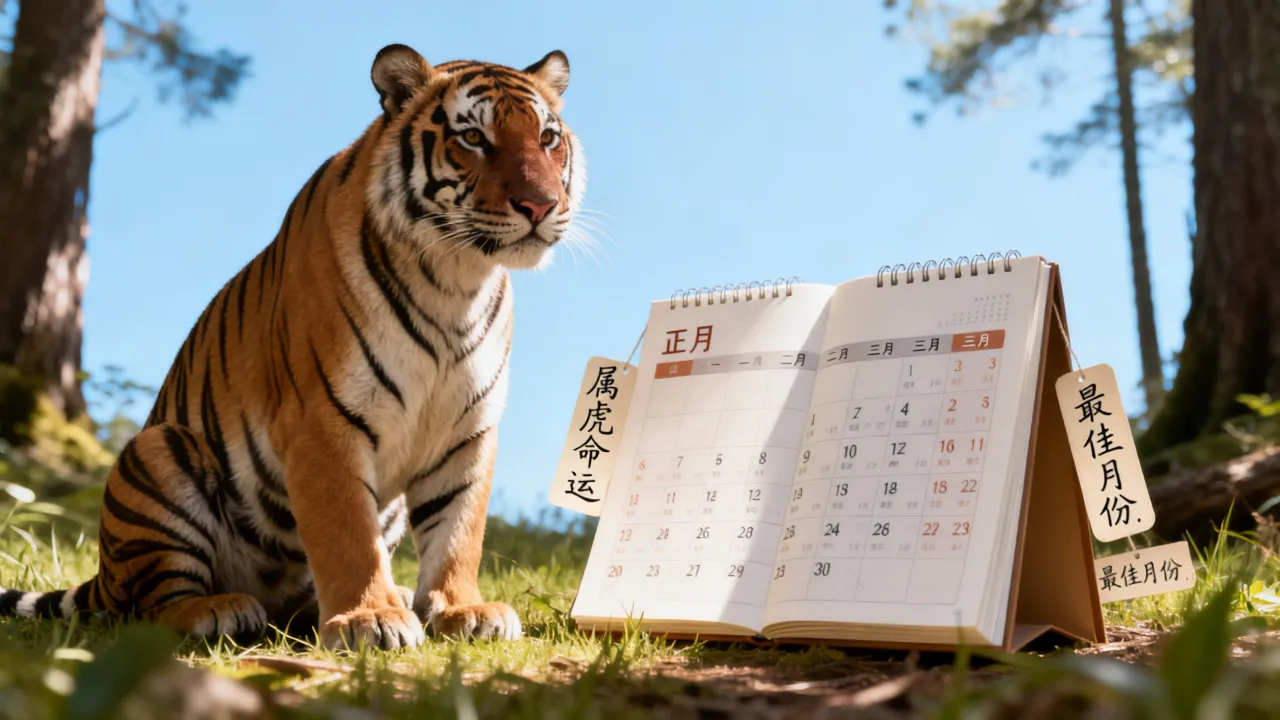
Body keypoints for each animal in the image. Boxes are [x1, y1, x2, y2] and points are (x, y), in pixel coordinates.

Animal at [0, 43, 586, 650]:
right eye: (473, 137)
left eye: (547, 137)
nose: (541, 206)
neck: (455, 279)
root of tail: (104, 575)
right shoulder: (323, 419)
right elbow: (346, 533)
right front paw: (370, 620)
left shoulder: (468, 428)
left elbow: (459, 529)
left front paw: (462, 610)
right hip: (159, 451)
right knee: (153, 604)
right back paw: (220, 609)